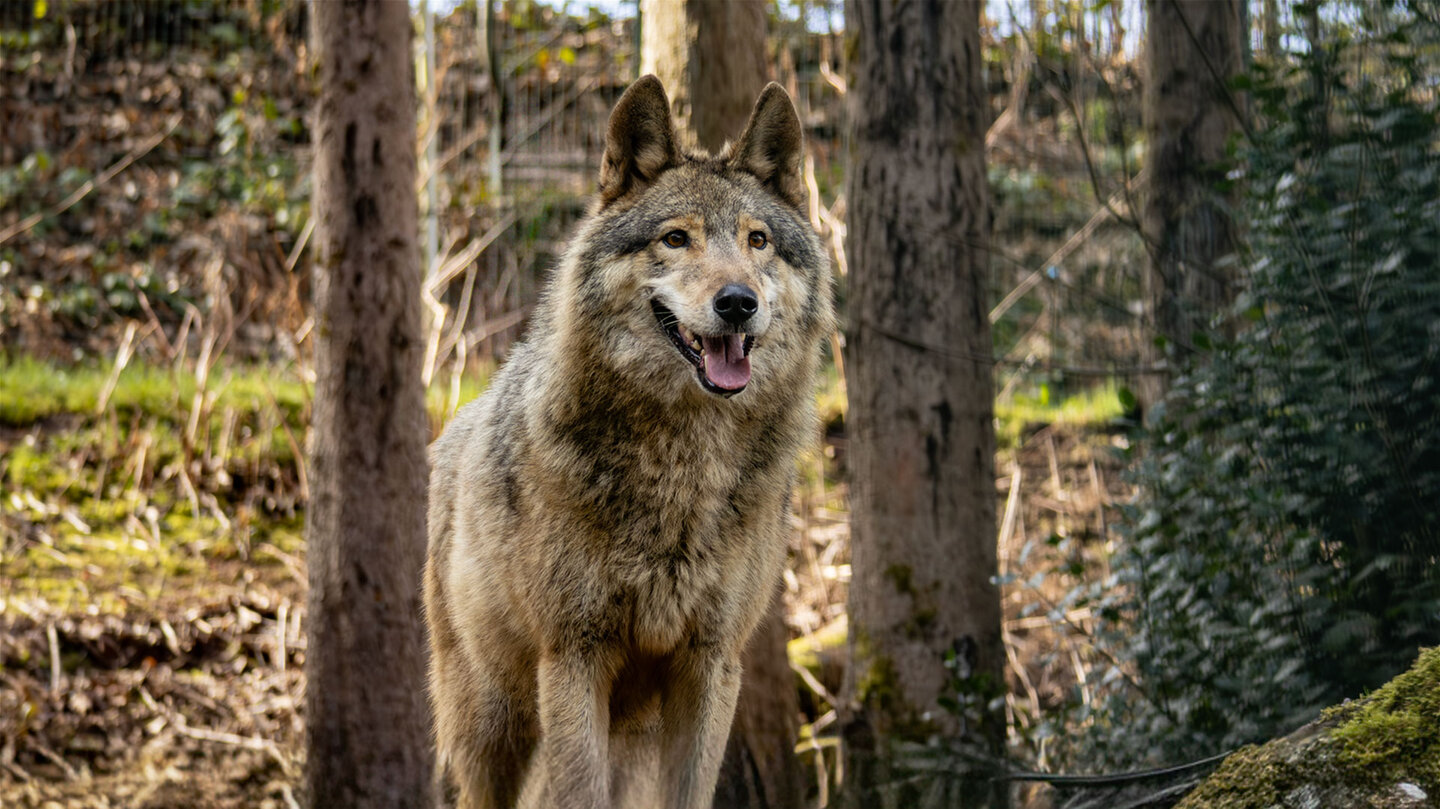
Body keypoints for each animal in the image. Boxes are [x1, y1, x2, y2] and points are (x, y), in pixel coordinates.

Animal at [423, 75, 834, 809]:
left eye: (758, 240)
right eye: (676, 238)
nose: (738, 301)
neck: (683, 469)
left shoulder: (711, 664)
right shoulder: (573, 659)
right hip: (494, 724)